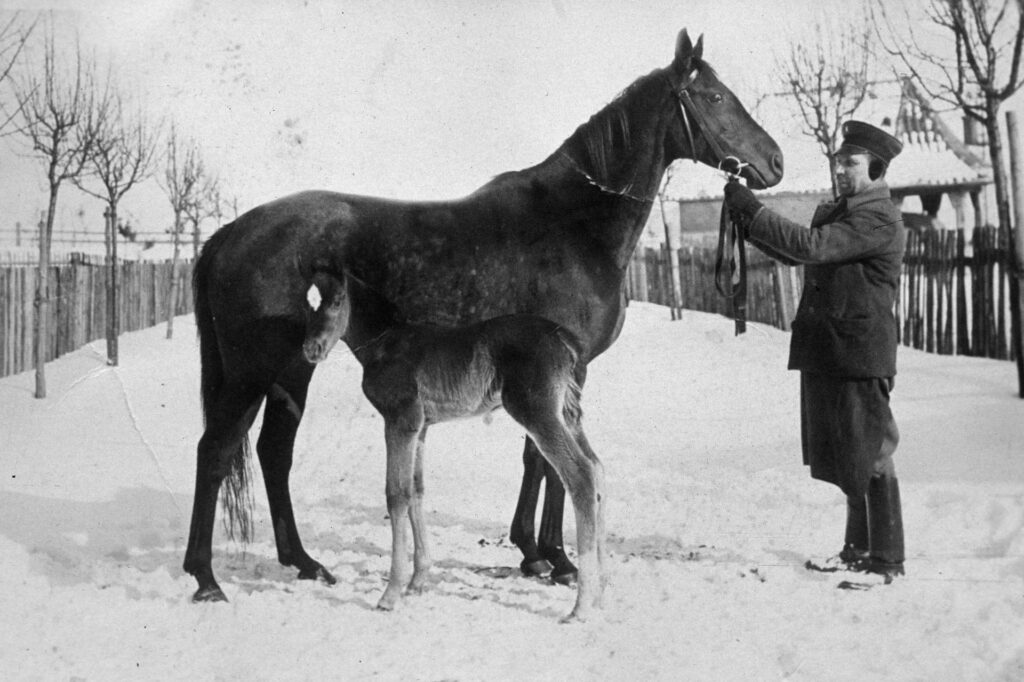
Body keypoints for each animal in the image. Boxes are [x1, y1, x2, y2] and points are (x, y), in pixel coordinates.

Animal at [302, 269, 604, 620]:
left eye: (337, 301)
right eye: (308, 303)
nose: (311, 349)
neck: (386, 342)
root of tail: (565, 339)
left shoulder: (400, 421)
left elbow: (396, 495)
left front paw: (391, 594)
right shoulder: (420, 428)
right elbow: (416, 491)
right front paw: (417, 582)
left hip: (538, 414)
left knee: (580, 476)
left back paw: (580, 606)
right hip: (568, 415)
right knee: (597, 468)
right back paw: (602, 589)